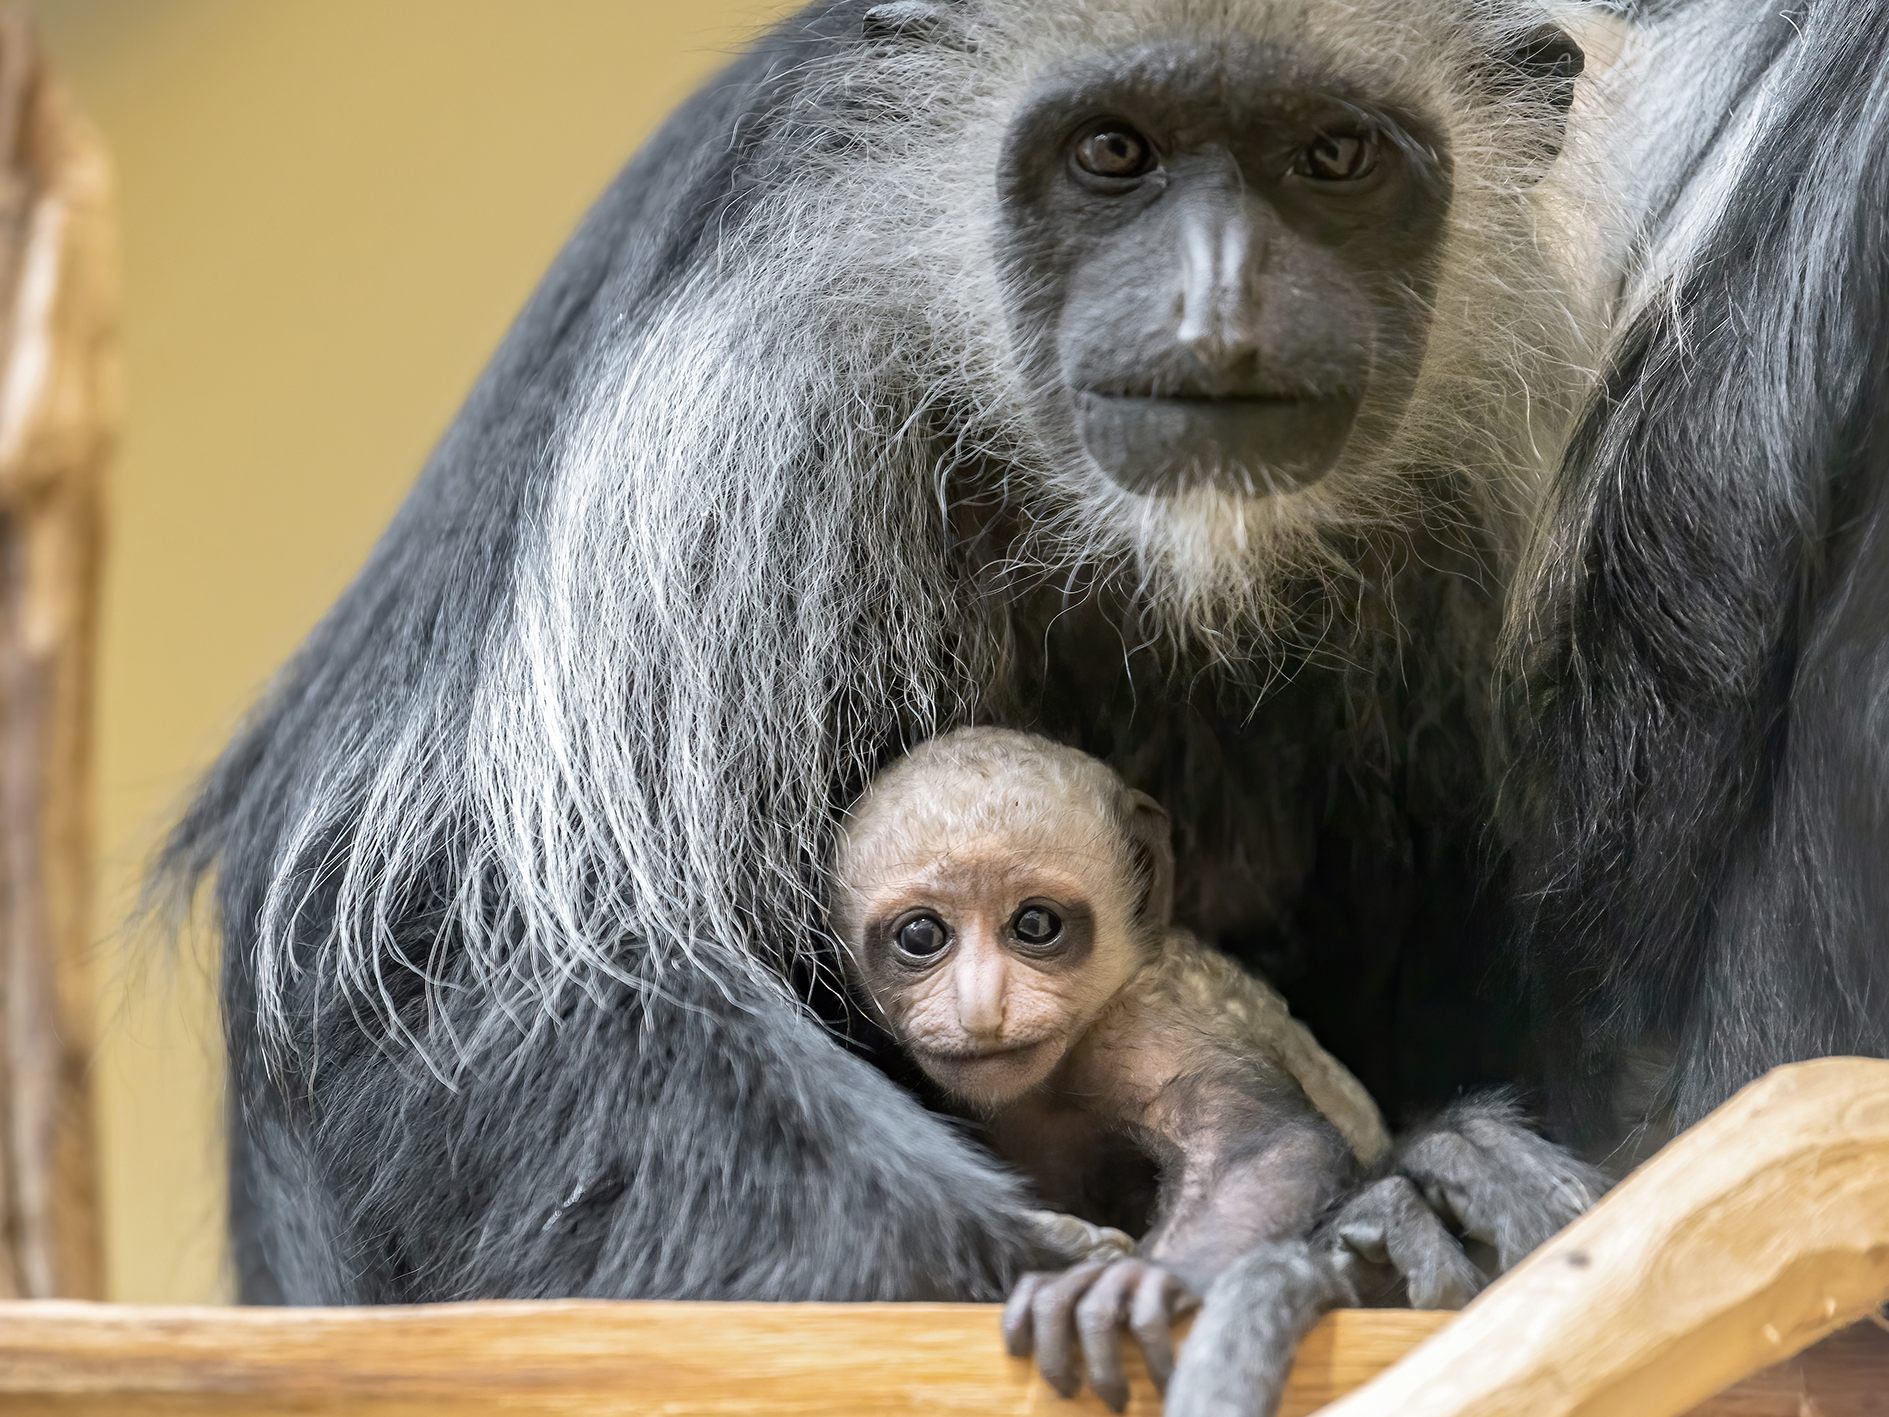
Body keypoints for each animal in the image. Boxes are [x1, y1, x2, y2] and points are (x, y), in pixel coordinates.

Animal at [831, 733, 1390, 1413]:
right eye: (921, 935)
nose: (982, 1007)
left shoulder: (1143, 1021)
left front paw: (1148, 1279)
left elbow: (1265, 1145)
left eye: (1035, 925)